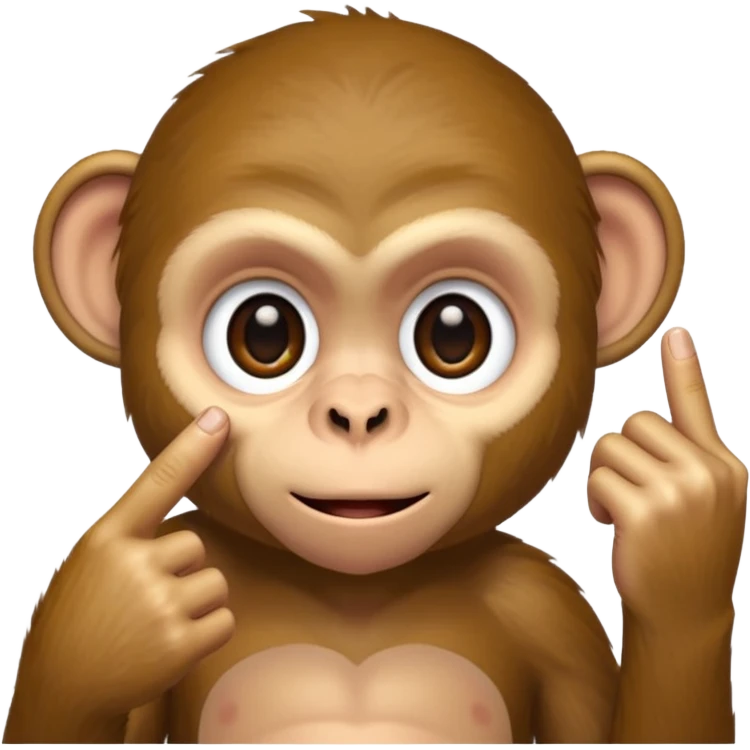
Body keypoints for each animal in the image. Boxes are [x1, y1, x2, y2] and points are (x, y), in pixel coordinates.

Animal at [5, 7, 747, 745]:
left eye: (453, 333)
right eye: (264, 332)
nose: (358, 414)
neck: (354, 596)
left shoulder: (546, 607)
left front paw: (676, 533)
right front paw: (109, 614)